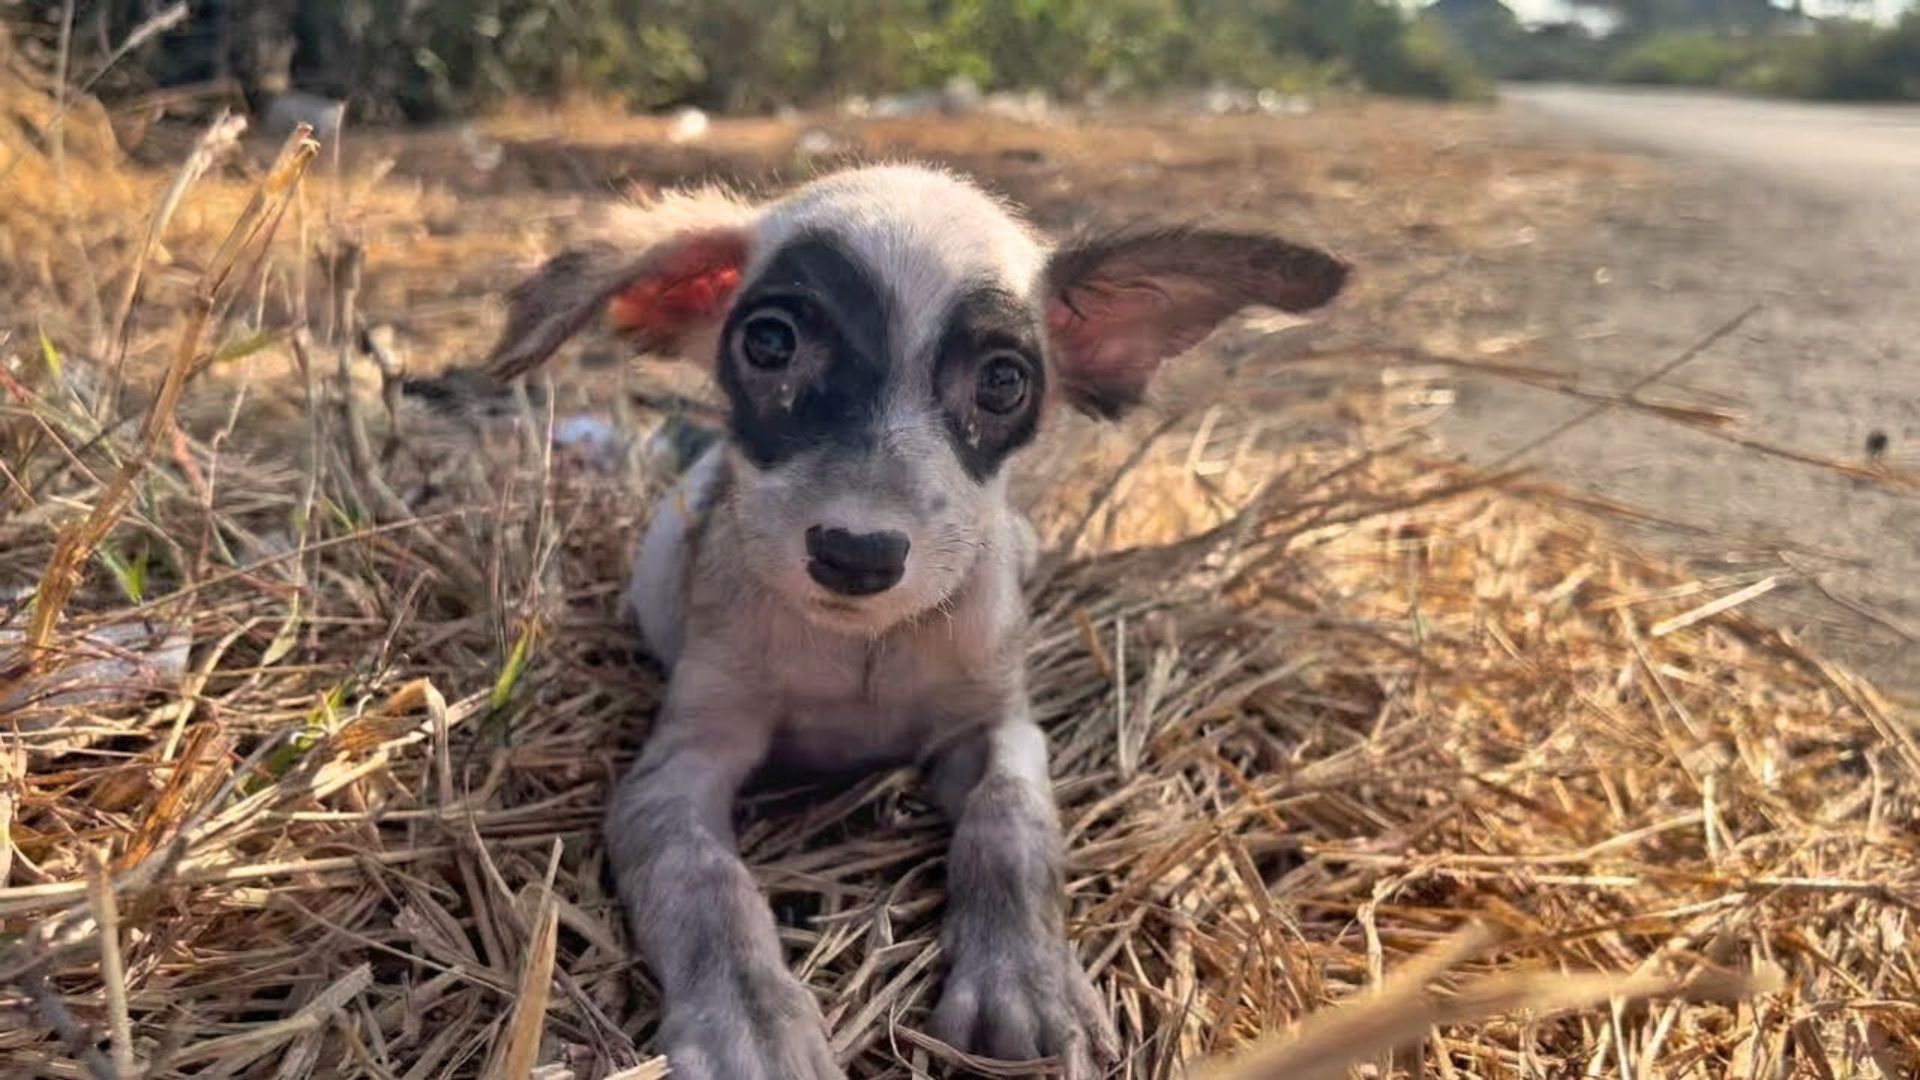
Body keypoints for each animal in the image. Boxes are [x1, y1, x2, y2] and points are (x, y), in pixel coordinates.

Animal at [480, 164, 1351, 1068]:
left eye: (1003, 381)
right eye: (770, 343)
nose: (855, 553)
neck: (862, 650)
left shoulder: (1000, 725)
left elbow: (1010, 824)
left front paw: (1026, 978)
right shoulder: (673, 770)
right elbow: (703, 881)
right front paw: (750, 1018)